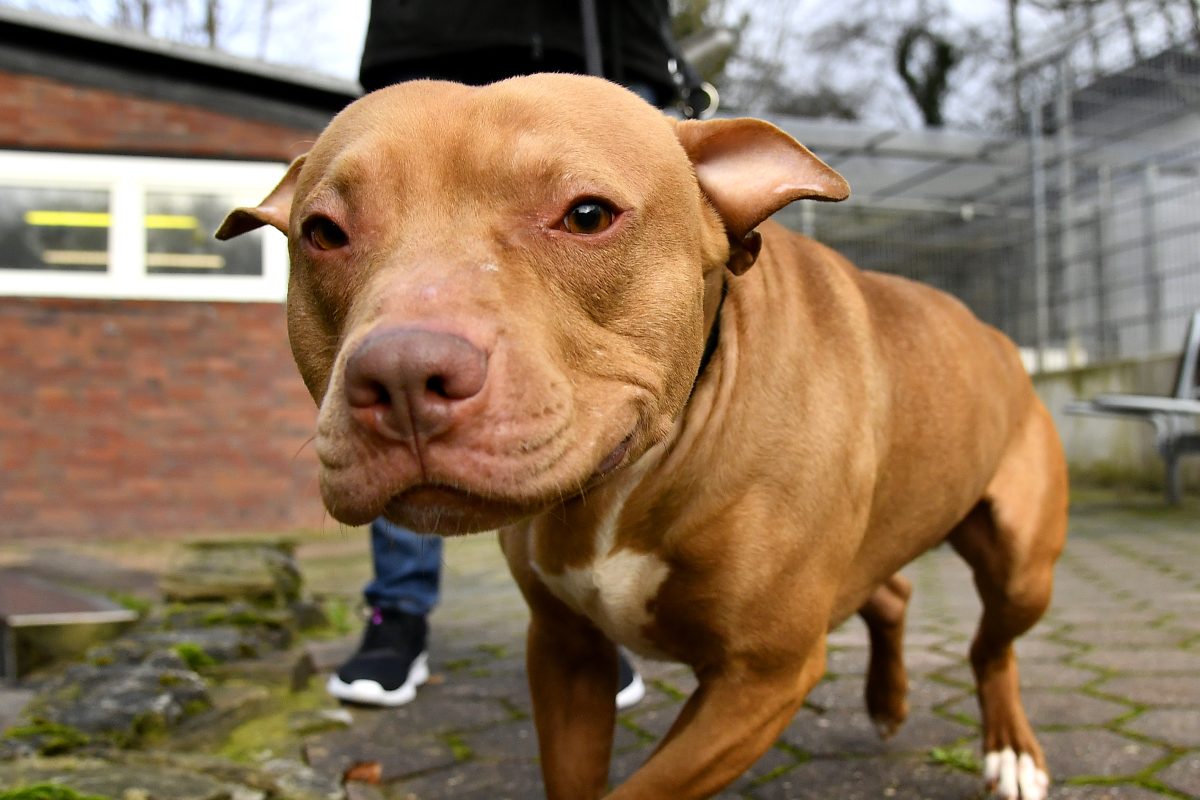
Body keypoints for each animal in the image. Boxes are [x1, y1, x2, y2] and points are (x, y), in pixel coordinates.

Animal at [218, 76, 1070, 800]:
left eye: (588, 215)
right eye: (322, 233)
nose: (400, 377)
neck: (630, 482)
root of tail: (1002, 342)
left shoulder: (760, 678)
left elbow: (646, 789)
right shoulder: (566, 651)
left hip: (1023, 569)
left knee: (990, 647)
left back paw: (1010, 750)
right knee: (892, 592)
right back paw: (888, 700)